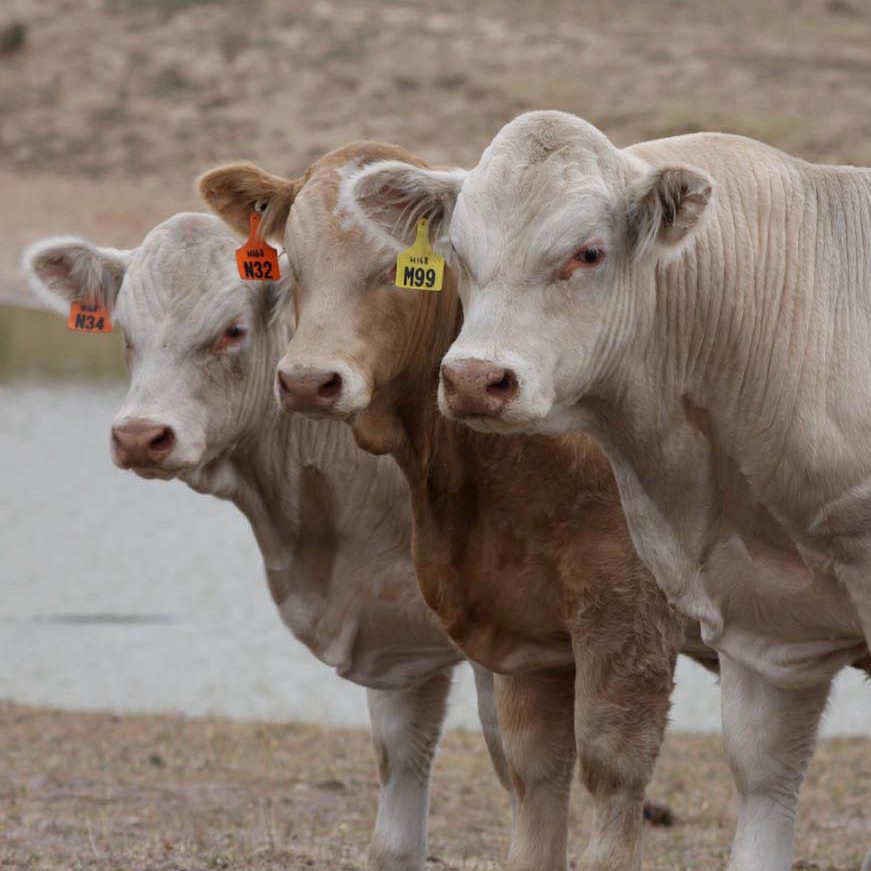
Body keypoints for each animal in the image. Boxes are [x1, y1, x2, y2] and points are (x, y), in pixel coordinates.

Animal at [201, 143, 720, 871]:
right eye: (292, 265)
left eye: (399, 271)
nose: (306, 381)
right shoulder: (529, 628)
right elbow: (533, 775)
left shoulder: (627, 613)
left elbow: (612, 773)